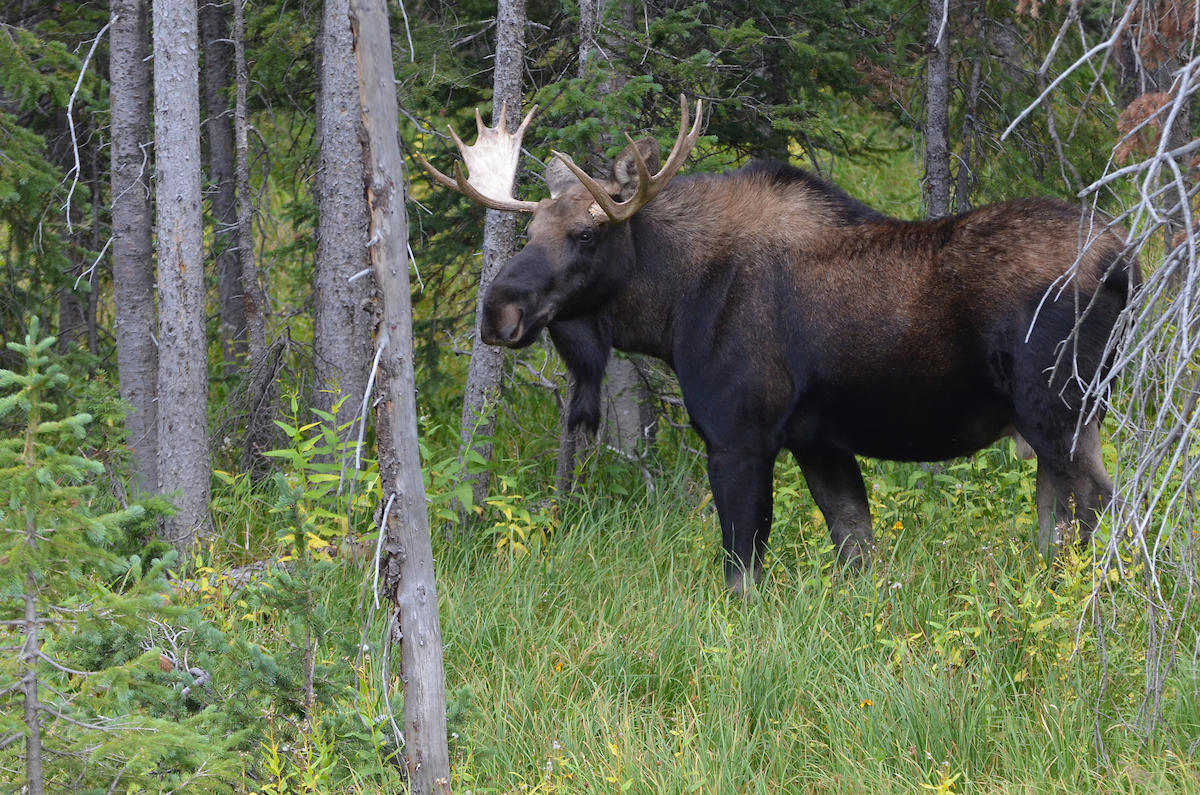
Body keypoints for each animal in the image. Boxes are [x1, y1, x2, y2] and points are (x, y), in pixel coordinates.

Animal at [420, 96, 1132, 590]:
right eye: (530, 229)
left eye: (586, 235)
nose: (499, 311)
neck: (672, 309)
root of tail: (1125, 262)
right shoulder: (818, 440)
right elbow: (856, 547)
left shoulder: (738, 435)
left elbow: (741, 572)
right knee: (1059, 520)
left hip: (1058, 411)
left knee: (1100, 504)